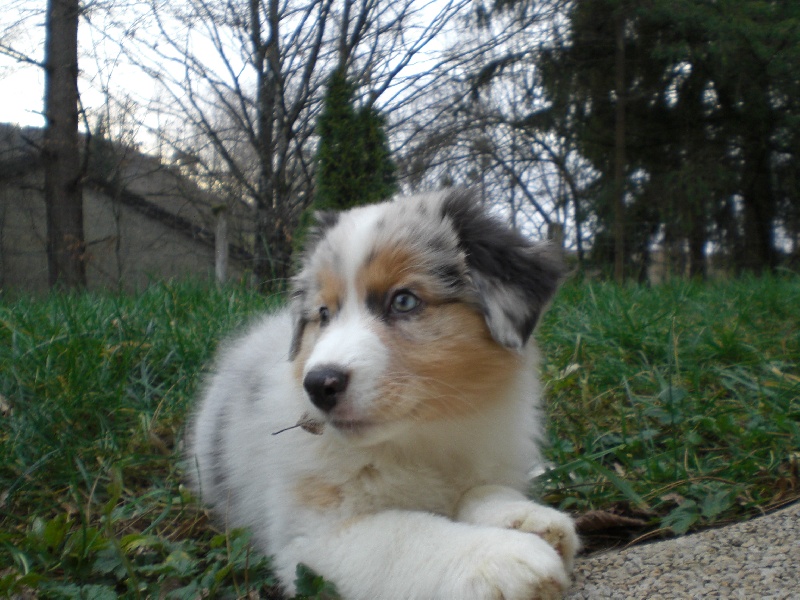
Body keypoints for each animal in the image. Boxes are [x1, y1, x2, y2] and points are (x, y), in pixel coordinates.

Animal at [188, 189, 579, 599]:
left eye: (403, 301)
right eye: (323, 314)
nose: (318, 385)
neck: (421, 437)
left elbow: (485, 488)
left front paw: (524, 516)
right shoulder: (313, 534)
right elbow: (406, 535)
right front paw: (501, 556)